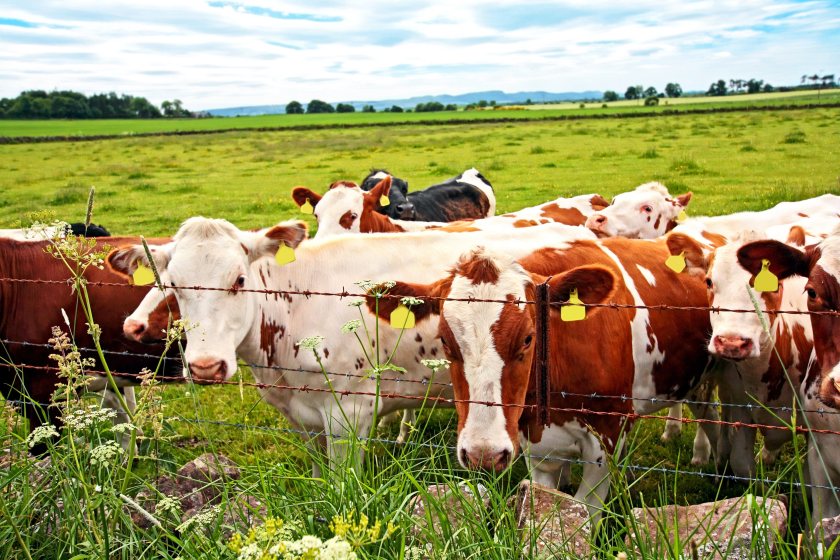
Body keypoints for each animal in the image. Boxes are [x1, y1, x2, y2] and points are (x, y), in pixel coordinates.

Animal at [371, 237, 720, 522]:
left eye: (528, 338)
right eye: (445, 340)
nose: (484, 454)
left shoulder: (609, 434)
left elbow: (586, 510)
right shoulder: (534, 447)